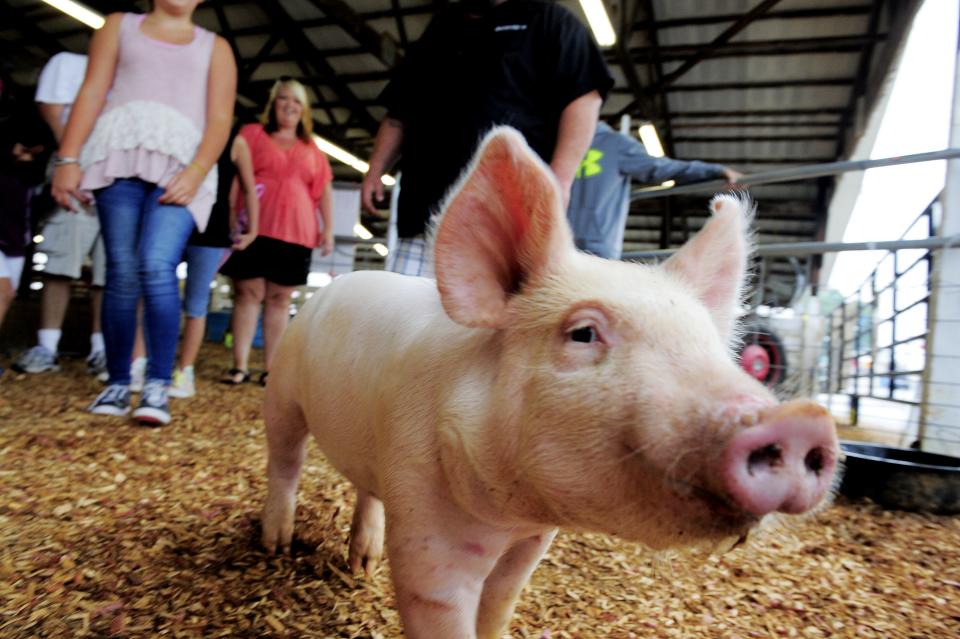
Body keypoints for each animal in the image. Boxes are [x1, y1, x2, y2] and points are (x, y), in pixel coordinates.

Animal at [258, 126, 836, 639]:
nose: (804, 420)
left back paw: (362, 565)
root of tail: (337, 284)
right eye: (583, 333)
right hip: (283, 389)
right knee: (285, 462)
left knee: (364, 487)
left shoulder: (532, 540)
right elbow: (439, 607)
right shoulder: (426, 525)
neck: (509, 515)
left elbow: (502, 601)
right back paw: (274, 545)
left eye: (712, 346)